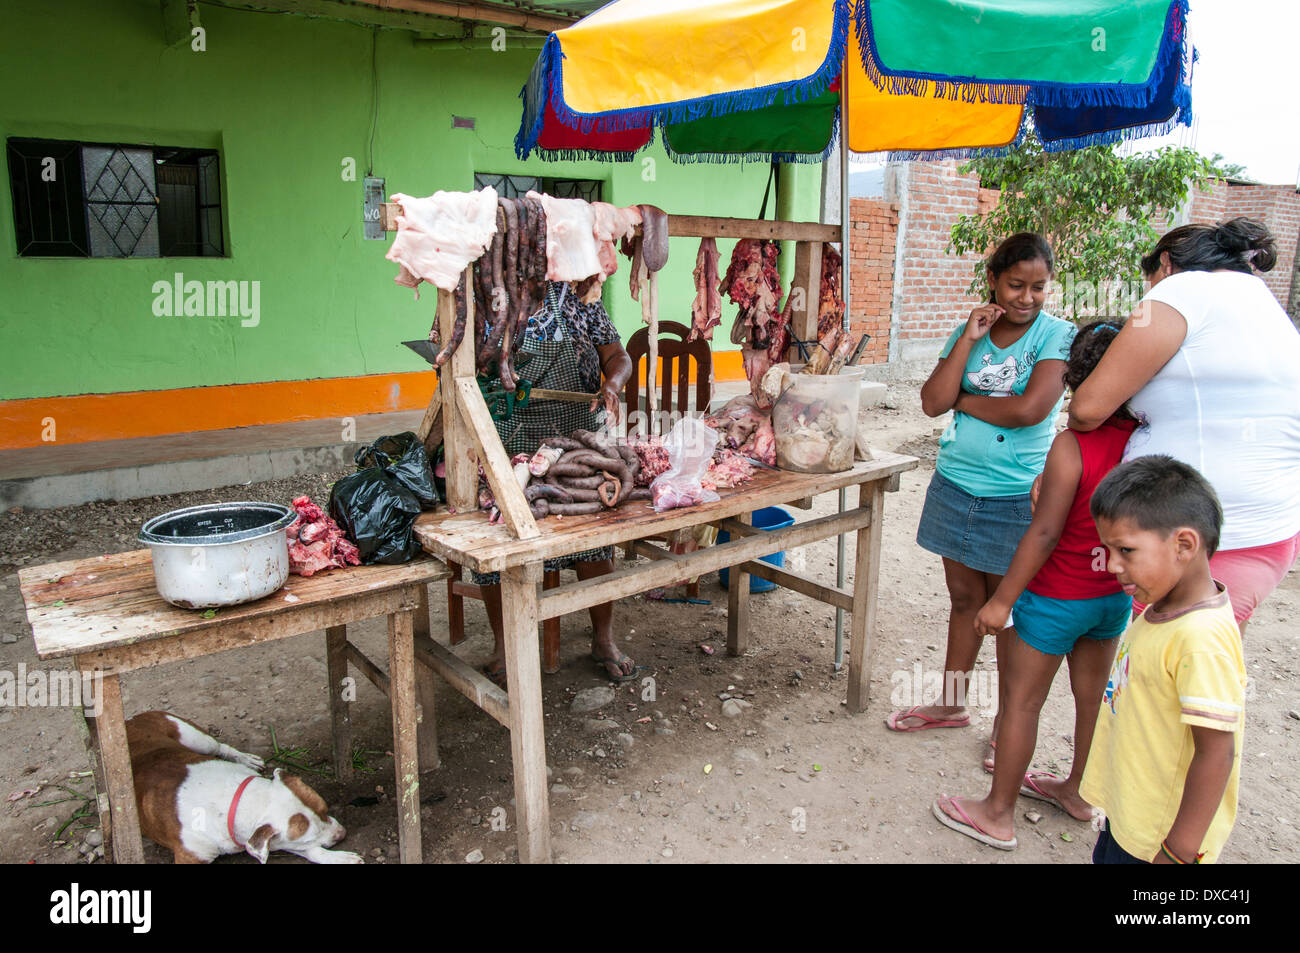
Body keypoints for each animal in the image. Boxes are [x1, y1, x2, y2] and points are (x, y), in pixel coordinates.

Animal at [126, 712, 364, 868]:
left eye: (325, 810)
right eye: (307, 837)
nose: (341, 834)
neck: (237, 800)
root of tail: (128, 720)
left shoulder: (268, 837)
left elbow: (313, 852)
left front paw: (338, 858)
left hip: (195, 738)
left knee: (219, 746)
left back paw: (245, 758)